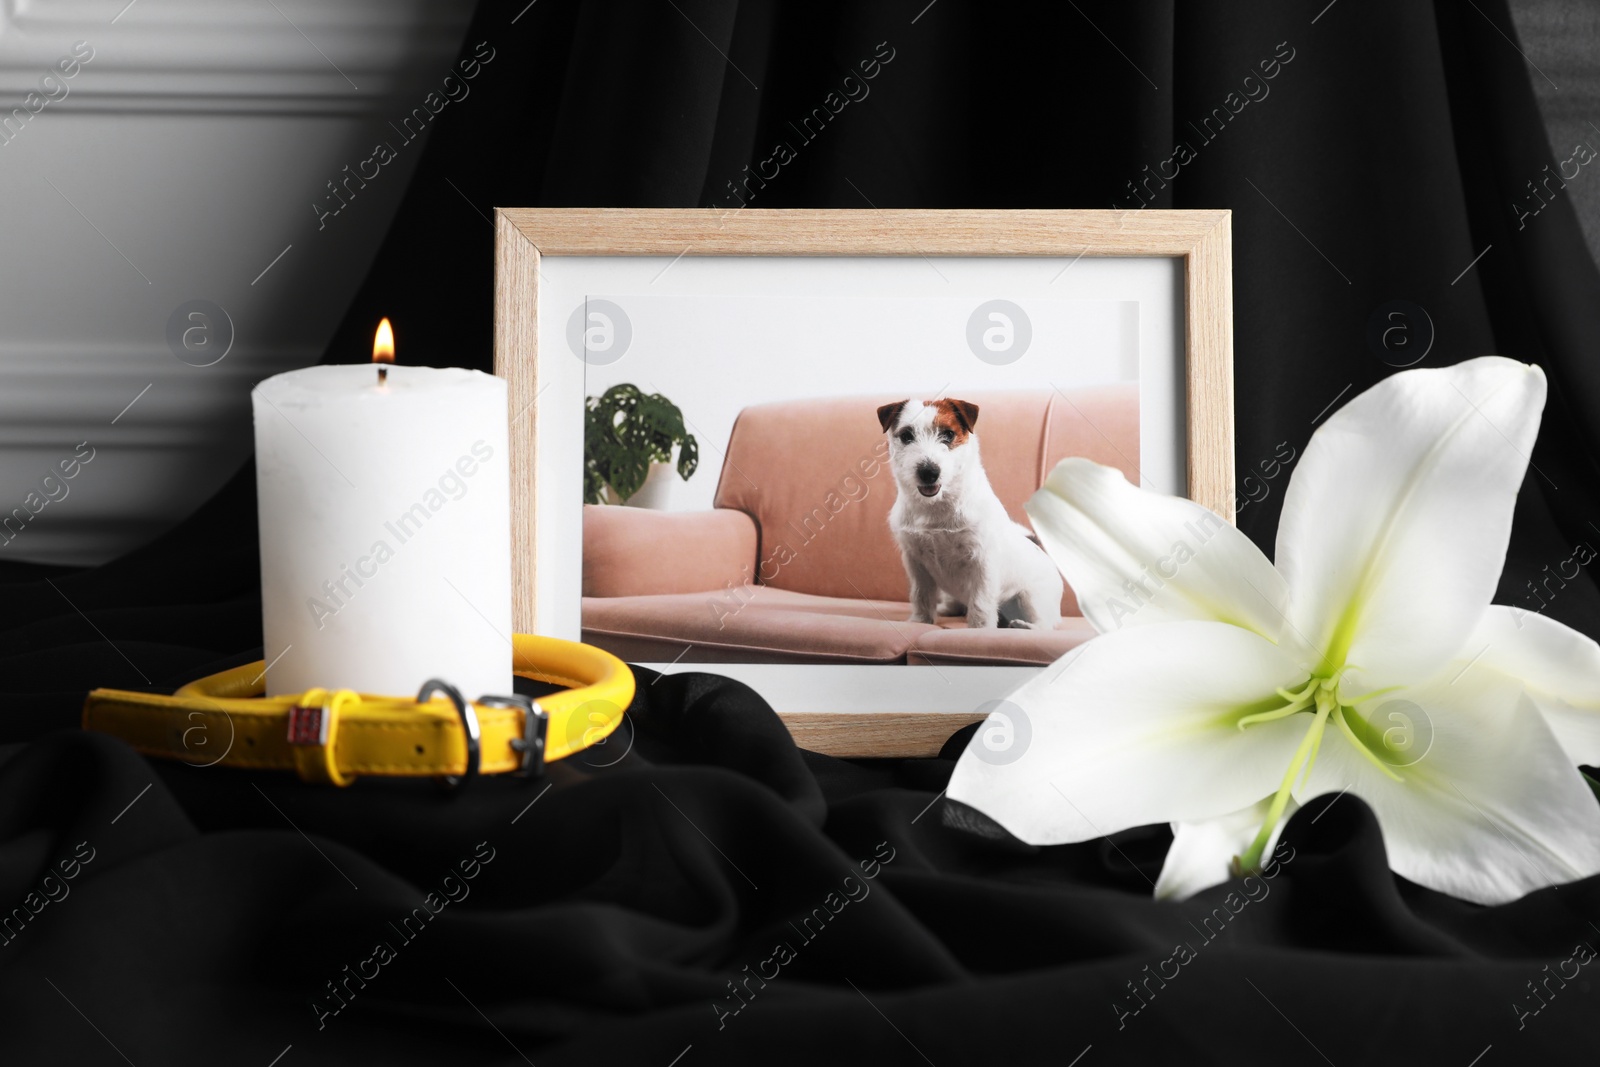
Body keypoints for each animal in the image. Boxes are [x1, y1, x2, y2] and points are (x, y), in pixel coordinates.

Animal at [876, 403, 1062, 633]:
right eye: (906, 436)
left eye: (948, 434)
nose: (929, 472)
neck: (937, 506)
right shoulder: (916, 562)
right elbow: (921, 595)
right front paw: (920, 621)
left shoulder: (982, 561)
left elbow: (981, 601)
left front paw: (979, 629)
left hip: (1031, 598)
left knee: (1045, 623)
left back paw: (1024, 626)